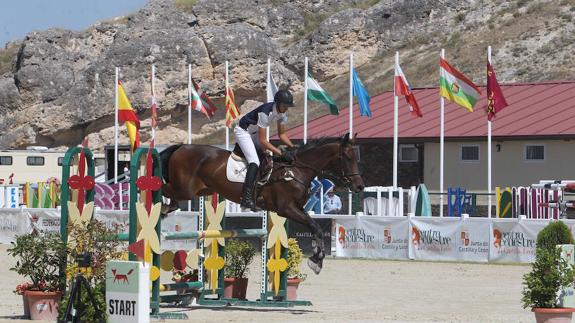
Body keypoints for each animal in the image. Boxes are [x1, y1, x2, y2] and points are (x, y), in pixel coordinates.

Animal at [159, 133, 364, 274]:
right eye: (348, 158)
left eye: (357, 158)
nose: (359, 186)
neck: (295, 171)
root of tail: (181, 148)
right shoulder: (286, 209)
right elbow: (314, 226)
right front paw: (316, 259)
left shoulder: (296, 209)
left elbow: (317, 228)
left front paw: (318, 259)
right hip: (185, 189)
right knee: (165, 189)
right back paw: (161, 208)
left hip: (202, 190)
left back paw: (165, 210)